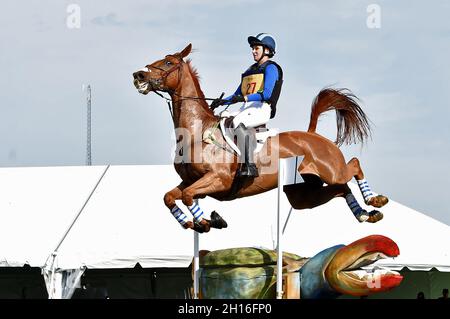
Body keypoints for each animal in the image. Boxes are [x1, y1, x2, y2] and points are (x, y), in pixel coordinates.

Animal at [132, 43, 388, 234]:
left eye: (168, 63)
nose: (138, 75)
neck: (196, 133)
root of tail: (313, 135)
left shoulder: (218, 179)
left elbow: (186, 197)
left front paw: (206, 221)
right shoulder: (190, 182)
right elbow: (170, 197)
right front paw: (195, 222)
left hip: (331, 171)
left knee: (353, 166)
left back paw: (374, 201)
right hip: (303, 195)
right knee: (341, 189)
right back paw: (365, 214)